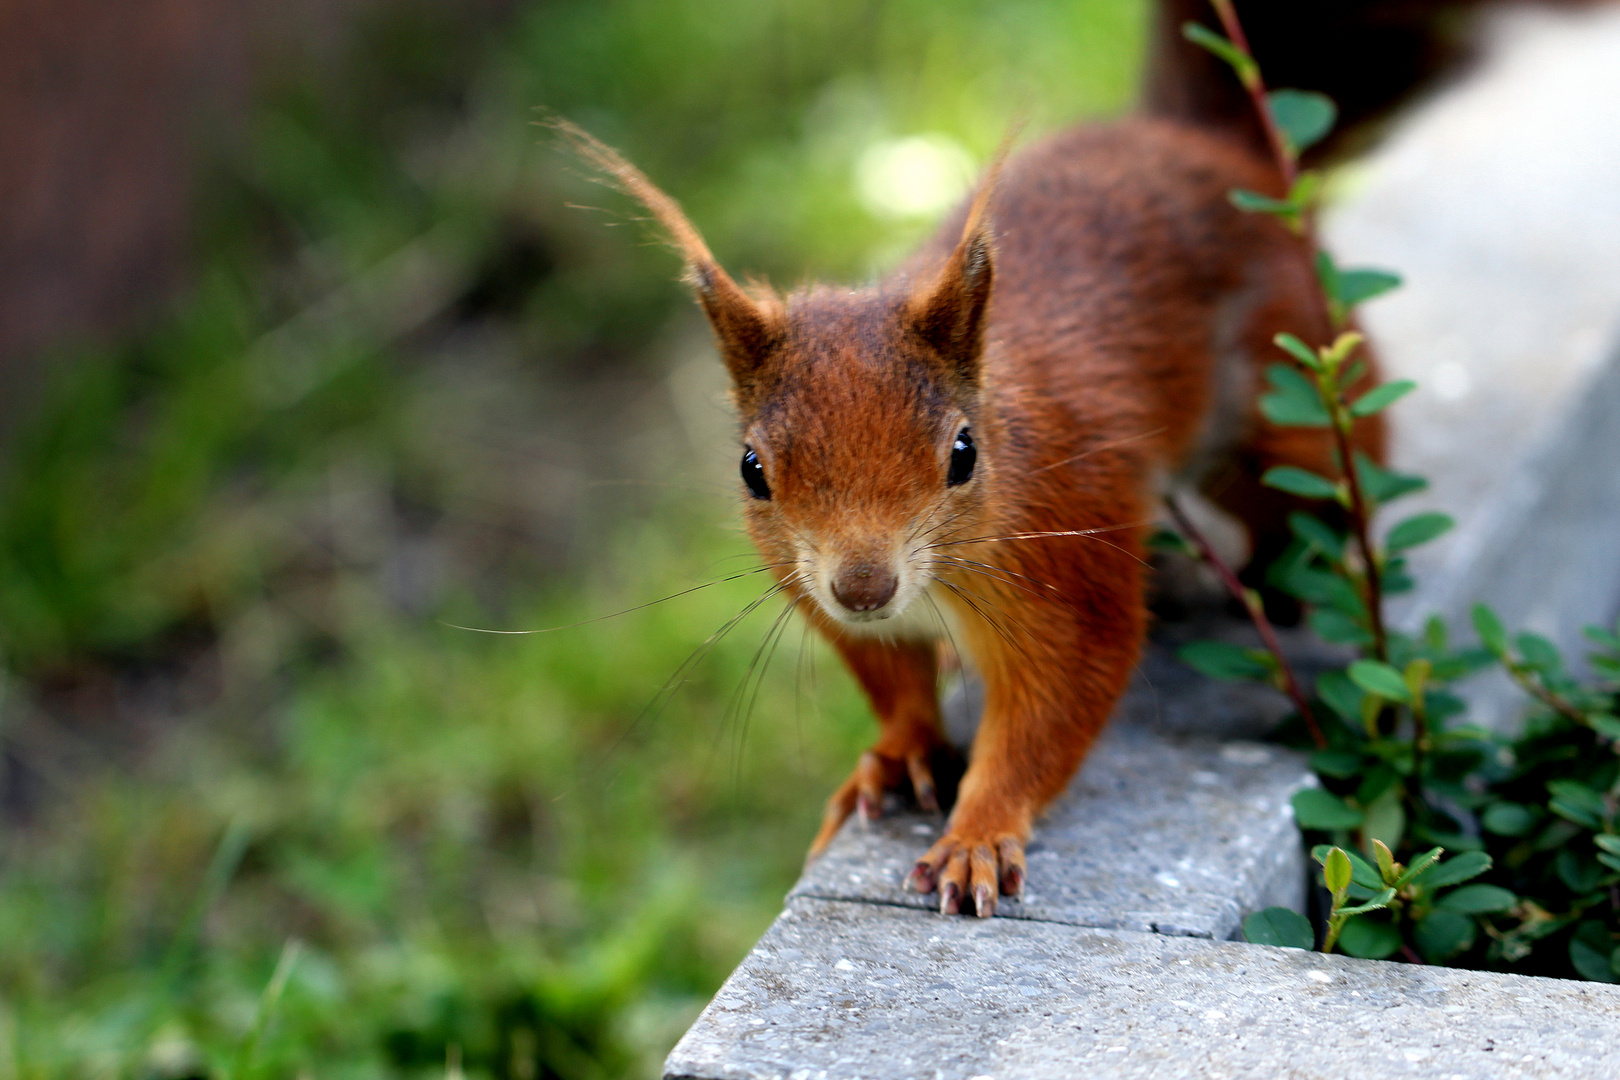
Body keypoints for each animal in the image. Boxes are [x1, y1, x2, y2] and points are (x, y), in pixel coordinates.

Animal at [554, 95, 1380, 913]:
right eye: (752, 470)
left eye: (963, 454)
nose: (863, 587)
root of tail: (1196, 138)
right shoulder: (821, 598)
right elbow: (892, 684)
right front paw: (897, 753)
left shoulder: (1071, 561)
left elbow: (1053, 706)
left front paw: (977, 835)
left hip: (1296, 396)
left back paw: (1279, 589)